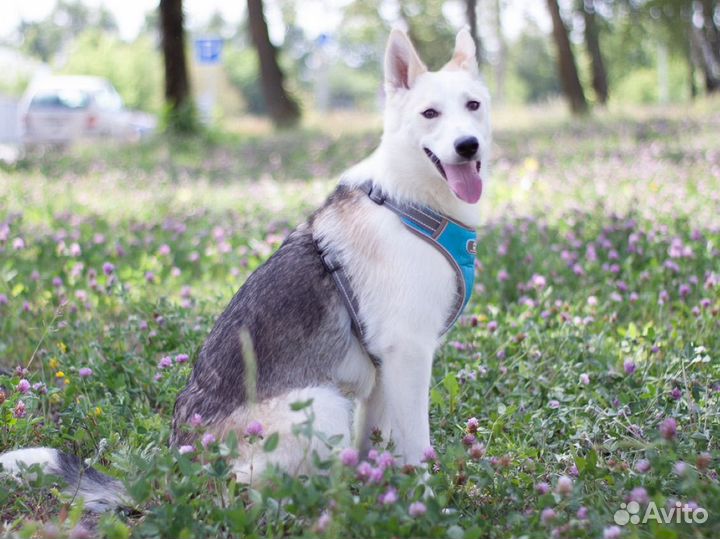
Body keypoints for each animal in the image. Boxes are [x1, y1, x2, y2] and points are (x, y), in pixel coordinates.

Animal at [0, 27, 490, 512]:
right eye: (430, 113)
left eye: (473, 106)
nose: (468, 145)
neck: (412, 203)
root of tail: (177, 476)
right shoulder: (408, 355)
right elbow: (417, 449)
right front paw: (424, 505)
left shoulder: (384, 374)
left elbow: (378, 448)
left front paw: (385, 497)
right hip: (322, 402)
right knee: (250, 496)